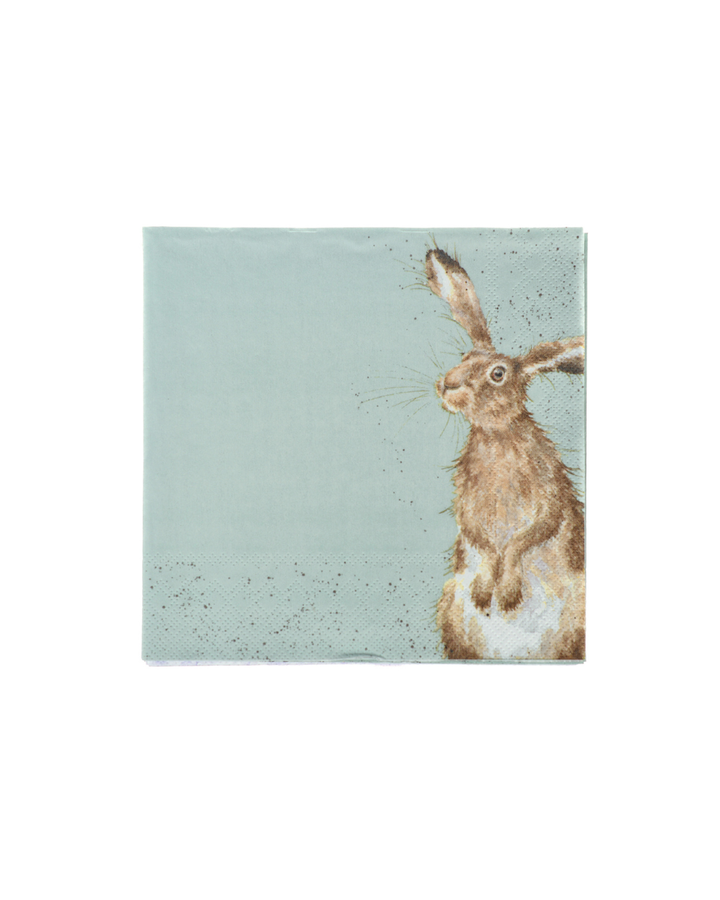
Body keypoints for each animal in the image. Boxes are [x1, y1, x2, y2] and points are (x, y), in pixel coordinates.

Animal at [425, 248, 585, 661]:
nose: (447, 385)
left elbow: (528, 535)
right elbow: (478, 536)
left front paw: (508, 593)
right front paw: (487, 590)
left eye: (498, 374)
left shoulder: (550, 491)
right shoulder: (466, 500)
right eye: (464, 354)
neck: (497, 435)